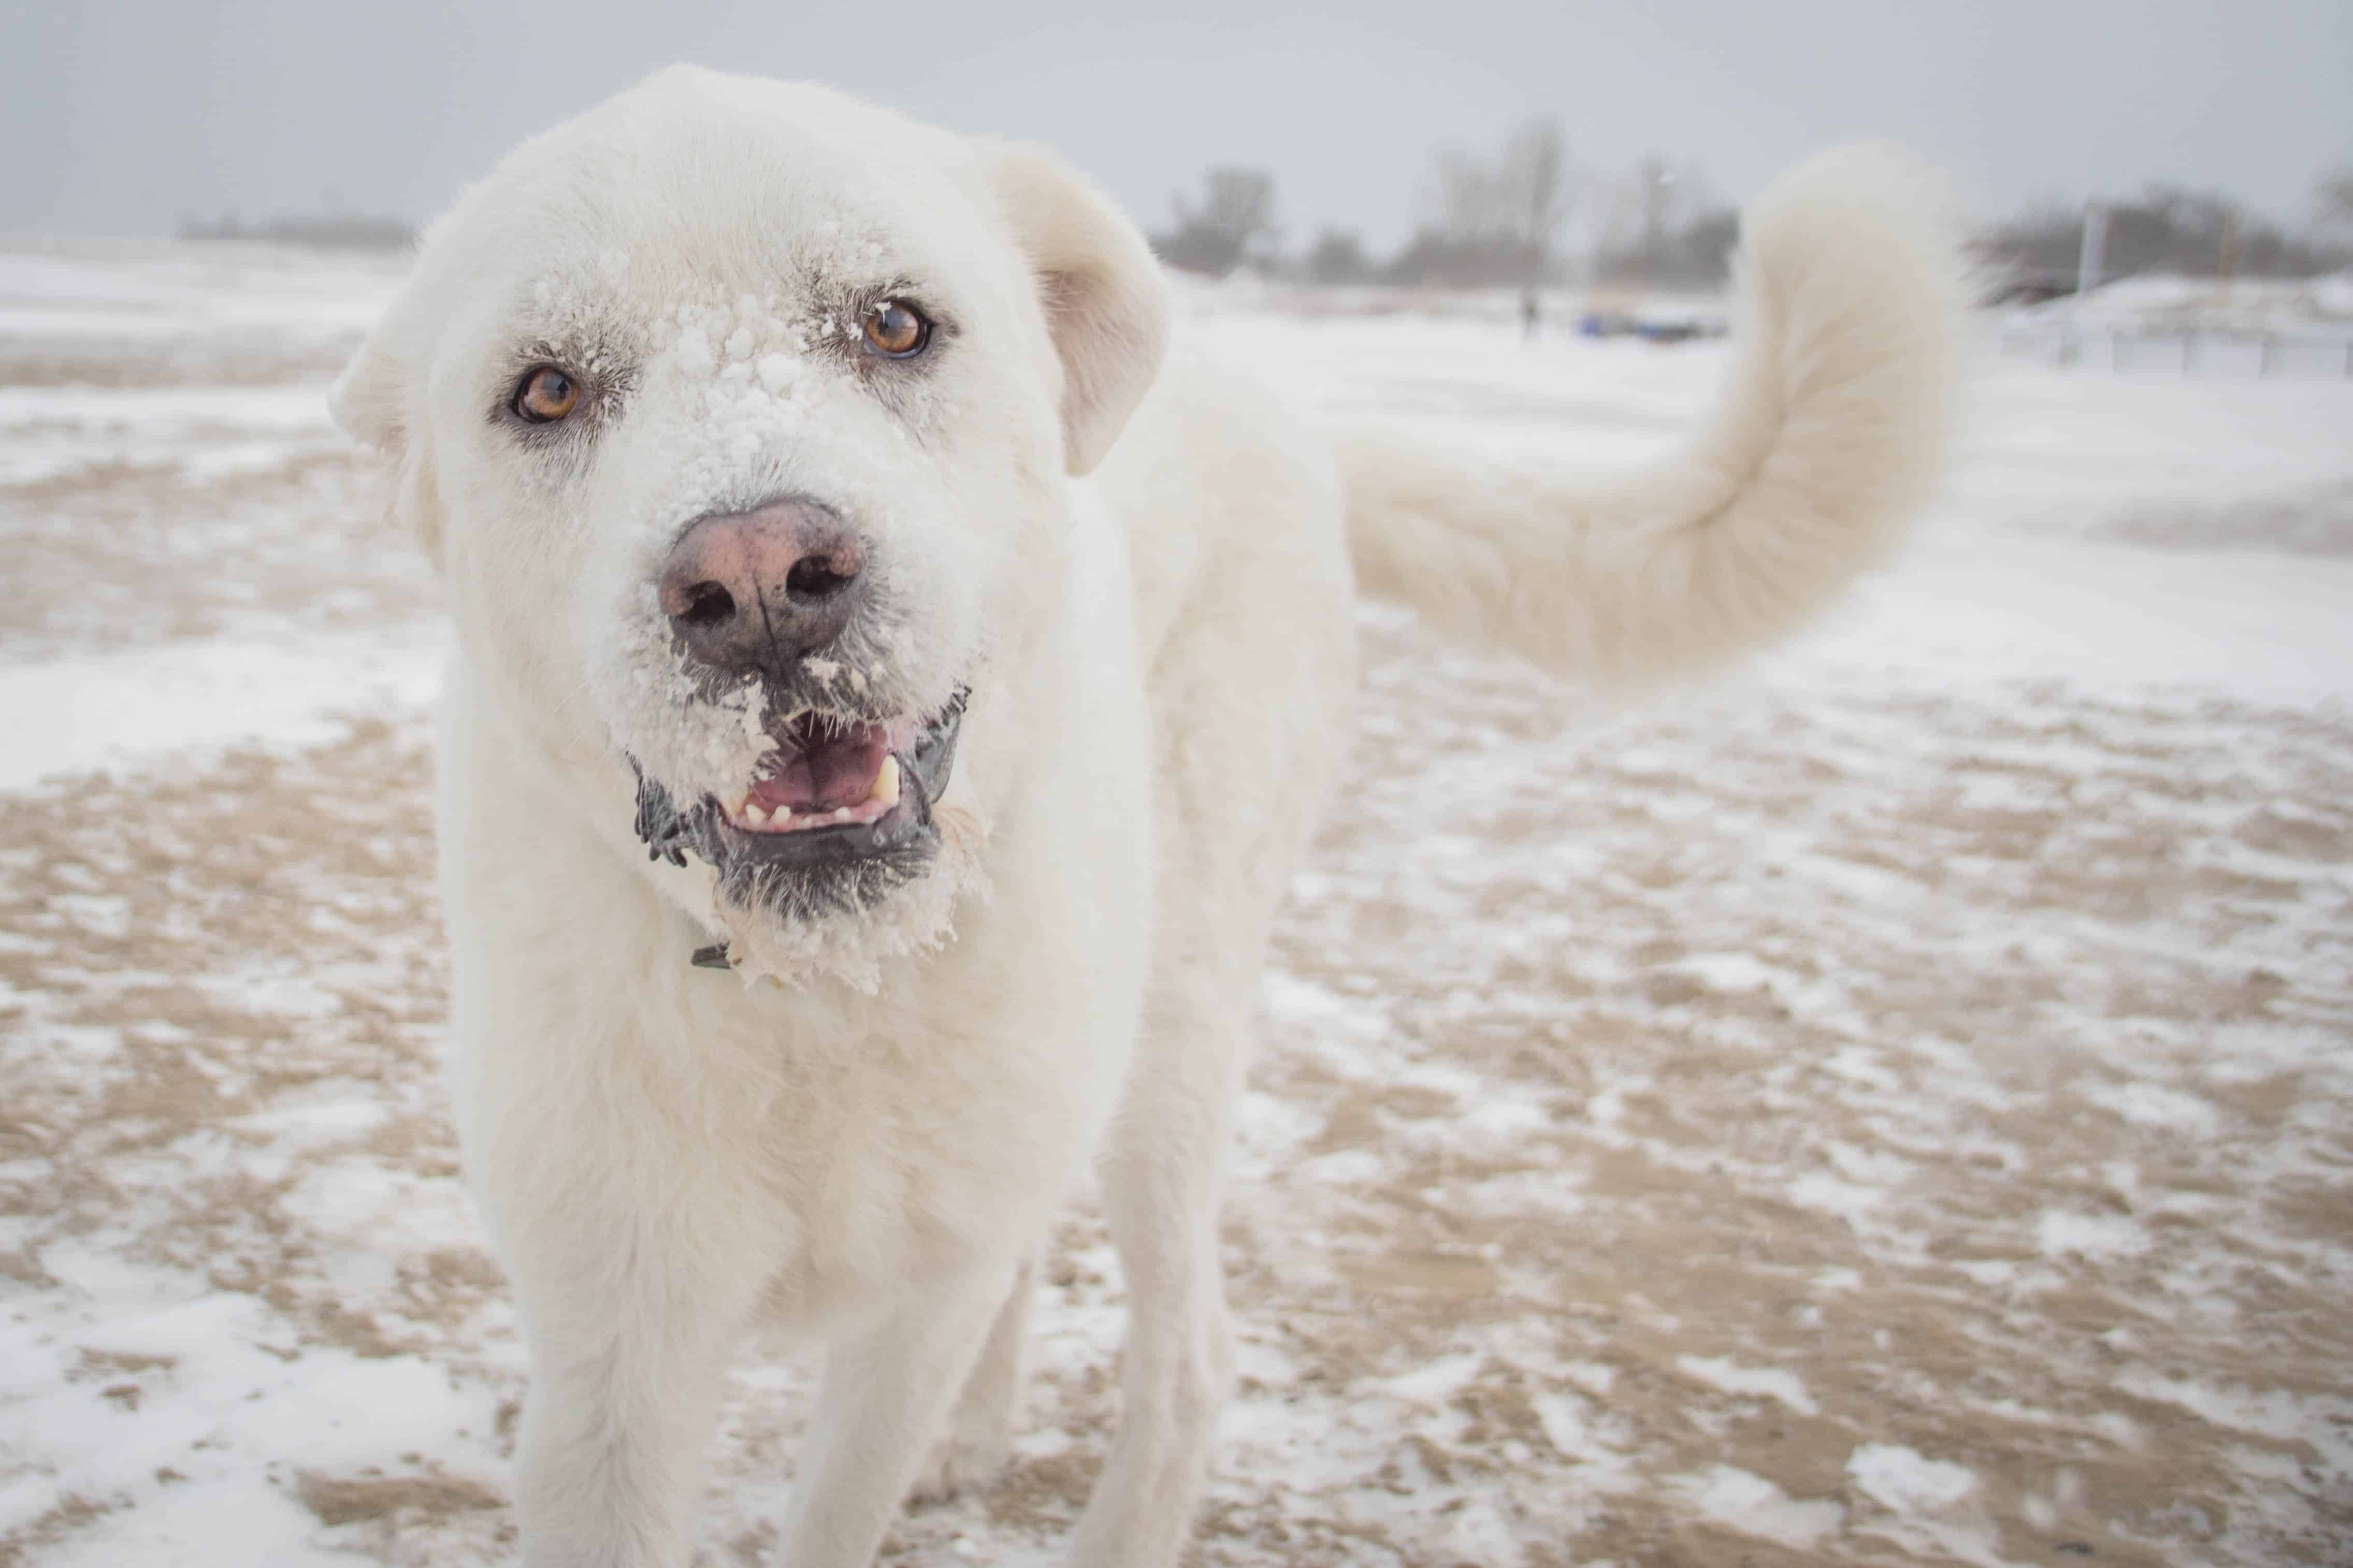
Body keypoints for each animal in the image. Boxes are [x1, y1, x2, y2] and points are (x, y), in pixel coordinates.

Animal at [331, 64, 1967, 1568]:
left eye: (892, 324)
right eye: (546, 390)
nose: (757, 579)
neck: (825, 992)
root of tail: (1292, 418)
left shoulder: (907, 1317)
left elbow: (850, 1498)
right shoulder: (615, 1348)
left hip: (1167, 1036)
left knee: (1188, 1360)